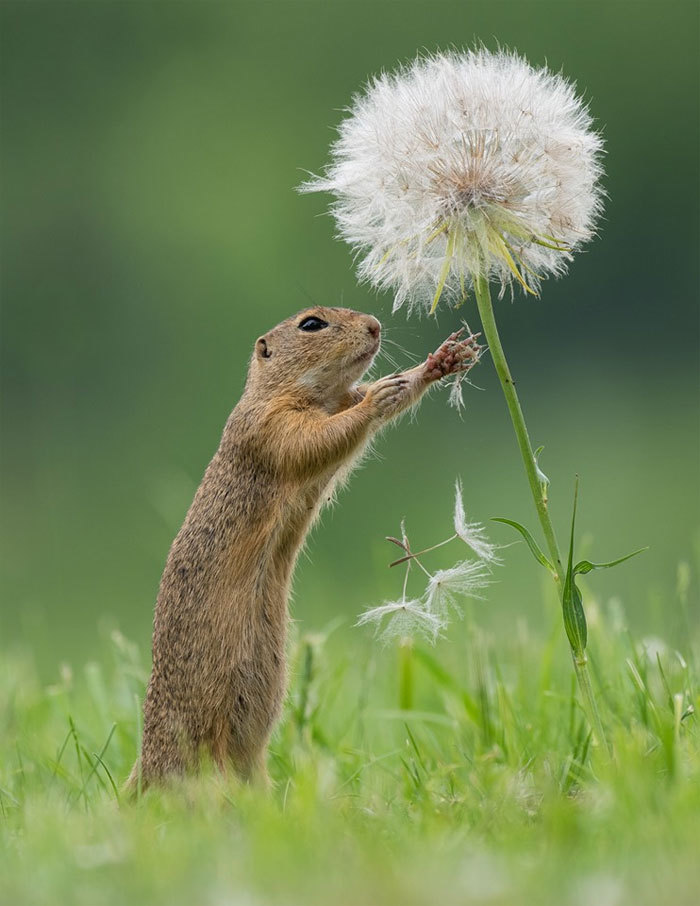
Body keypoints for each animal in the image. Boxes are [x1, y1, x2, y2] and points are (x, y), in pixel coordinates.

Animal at [127, 302, 482, 784]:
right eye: (311, 324)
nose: (375, 325)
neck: (311, 396)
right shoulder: (271, 426)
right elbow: (316, 439)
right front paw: (381, 396)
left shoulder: (332, 403)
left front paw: (438, 363)